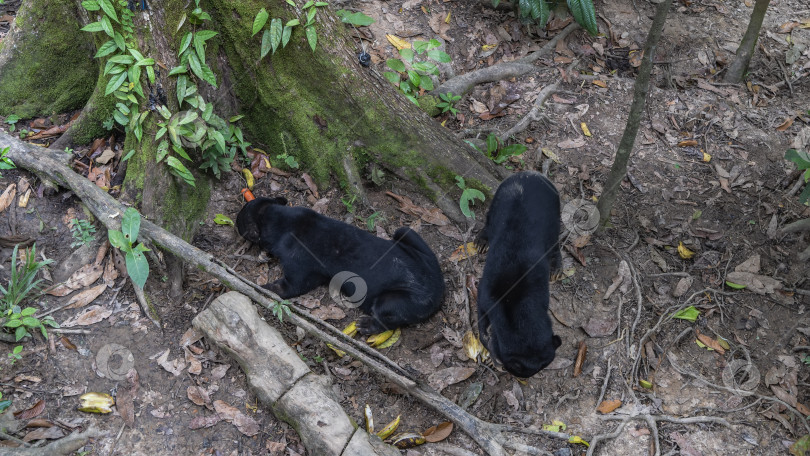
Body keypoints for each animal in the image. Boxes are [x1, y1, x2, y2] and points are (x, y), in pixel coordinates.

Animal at [237, 197, 446, 334]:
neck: (282, 221)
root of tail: (439, 290)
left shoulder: (298, 270)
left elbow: (284, 287)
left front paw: (261, 287)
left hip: (391, 301)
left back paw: (365, 326)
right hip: (407, 233)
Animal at [474, 171, 560, 378]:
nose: (523, 378)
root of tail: (531, 173)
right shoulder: (486, 292)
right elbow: (481, 313)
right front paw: (489, 347)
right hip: (498, 199)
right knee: (489, 220)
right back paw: (482, 242)